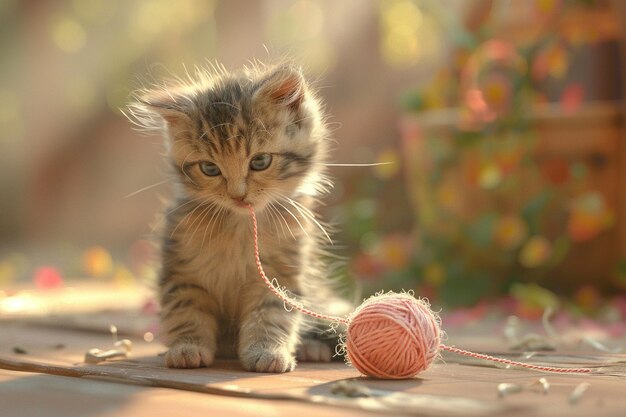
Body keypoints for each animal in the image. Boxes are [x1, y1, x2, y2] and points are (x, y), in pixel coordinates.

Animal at [127, 61, 342, 370]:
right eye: (210, 169)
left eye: (260, 161)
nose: (238, 195)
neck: (239, 226)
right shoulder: (181, 270)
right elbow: (186, 311)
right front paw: (187, 347)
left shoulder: (280, 274)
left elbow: (271, 314)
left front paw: (268, 351)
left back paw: (312, 347)